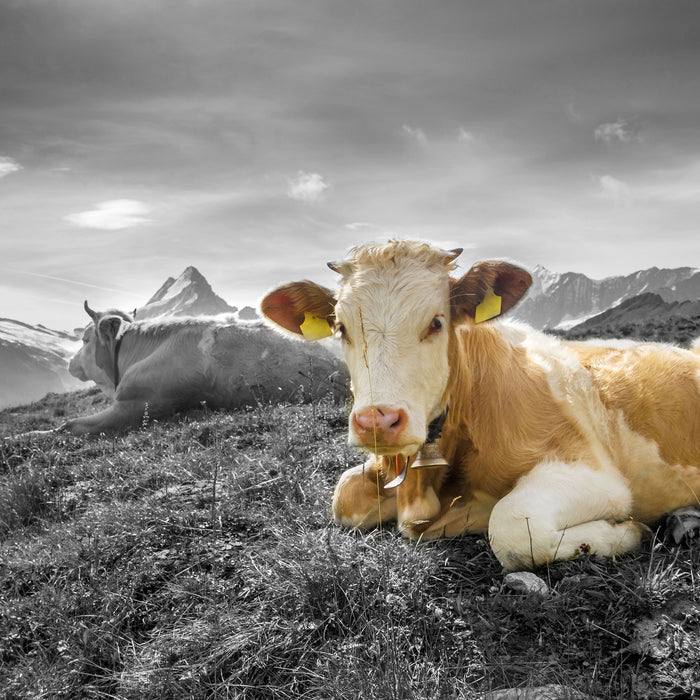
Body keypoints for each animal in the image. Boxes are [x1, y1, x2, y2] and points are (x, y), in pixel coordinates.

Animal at [262, 239, 700, 568]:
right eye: (340, 327)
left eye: (436, 322)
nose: (377, 422)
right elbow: (344, 494)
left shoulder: (595, 473)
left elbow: (511, 526)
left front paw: (627, 531)